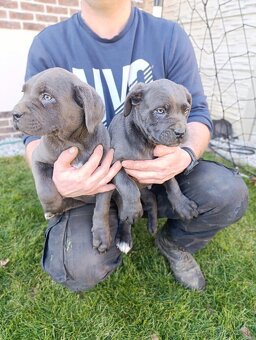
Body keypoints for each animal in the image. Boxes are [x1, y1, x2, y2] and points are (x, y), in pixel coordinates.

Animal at [12, 67, 112, 252]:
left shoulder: (107, 173)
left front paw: (101, 236)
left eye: (47, 97)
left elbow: (102, 207)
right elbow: (45, 188)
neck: (72, 141)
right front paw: (52, 207)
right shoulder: (38, 159)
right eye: (23, 93)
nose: (14, 114)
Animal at [109, 77, 199, 252]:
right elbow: (127, 185)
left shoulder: (164, 163)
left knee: (151, 197)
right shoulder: (113, 162)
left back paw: (153, 224)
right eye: (160, 111)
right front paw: (133, 210)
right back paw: (124, 236)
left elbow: (172, 183)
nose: (181, 133)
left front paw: (182, 204)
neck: (148, 143)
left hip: (145, 189)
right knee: (126, 208)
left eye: (186, 111)